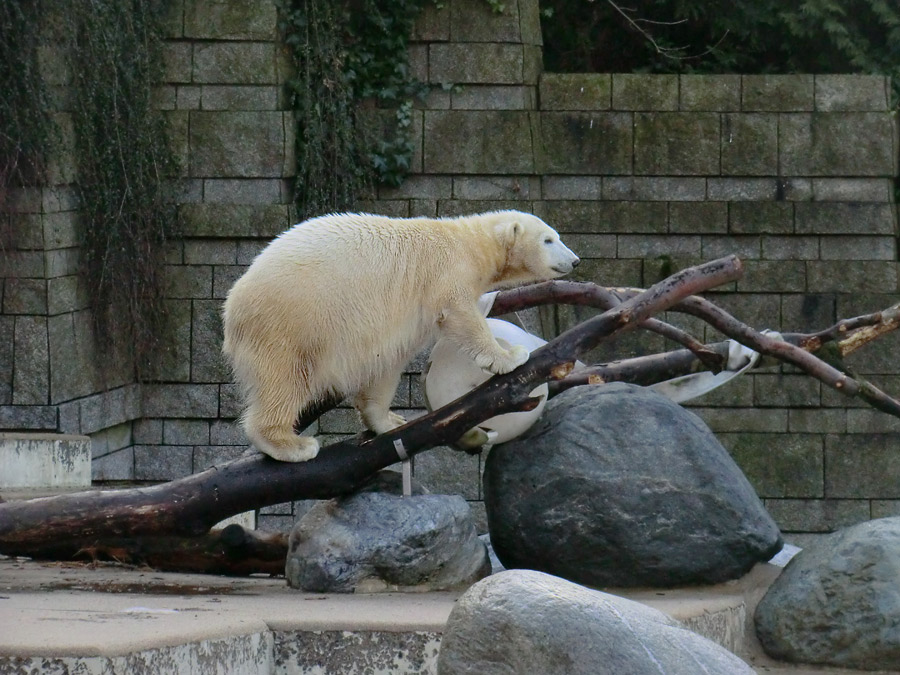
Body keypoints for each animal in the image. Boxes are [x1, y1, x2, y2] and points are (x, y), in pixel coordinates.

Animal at [221, 211, 580, 464]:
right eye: (549, 240)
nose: (575, 260)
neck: (470, 241)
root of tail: (232, 308)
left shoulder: (395, 323)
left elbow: (385, 367)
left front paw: (389, 420)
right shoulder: (446, 272)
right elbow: (460, 314)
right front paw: (511, 356)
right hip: (291, 320)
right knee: (284, 380)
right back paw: (290, 445)